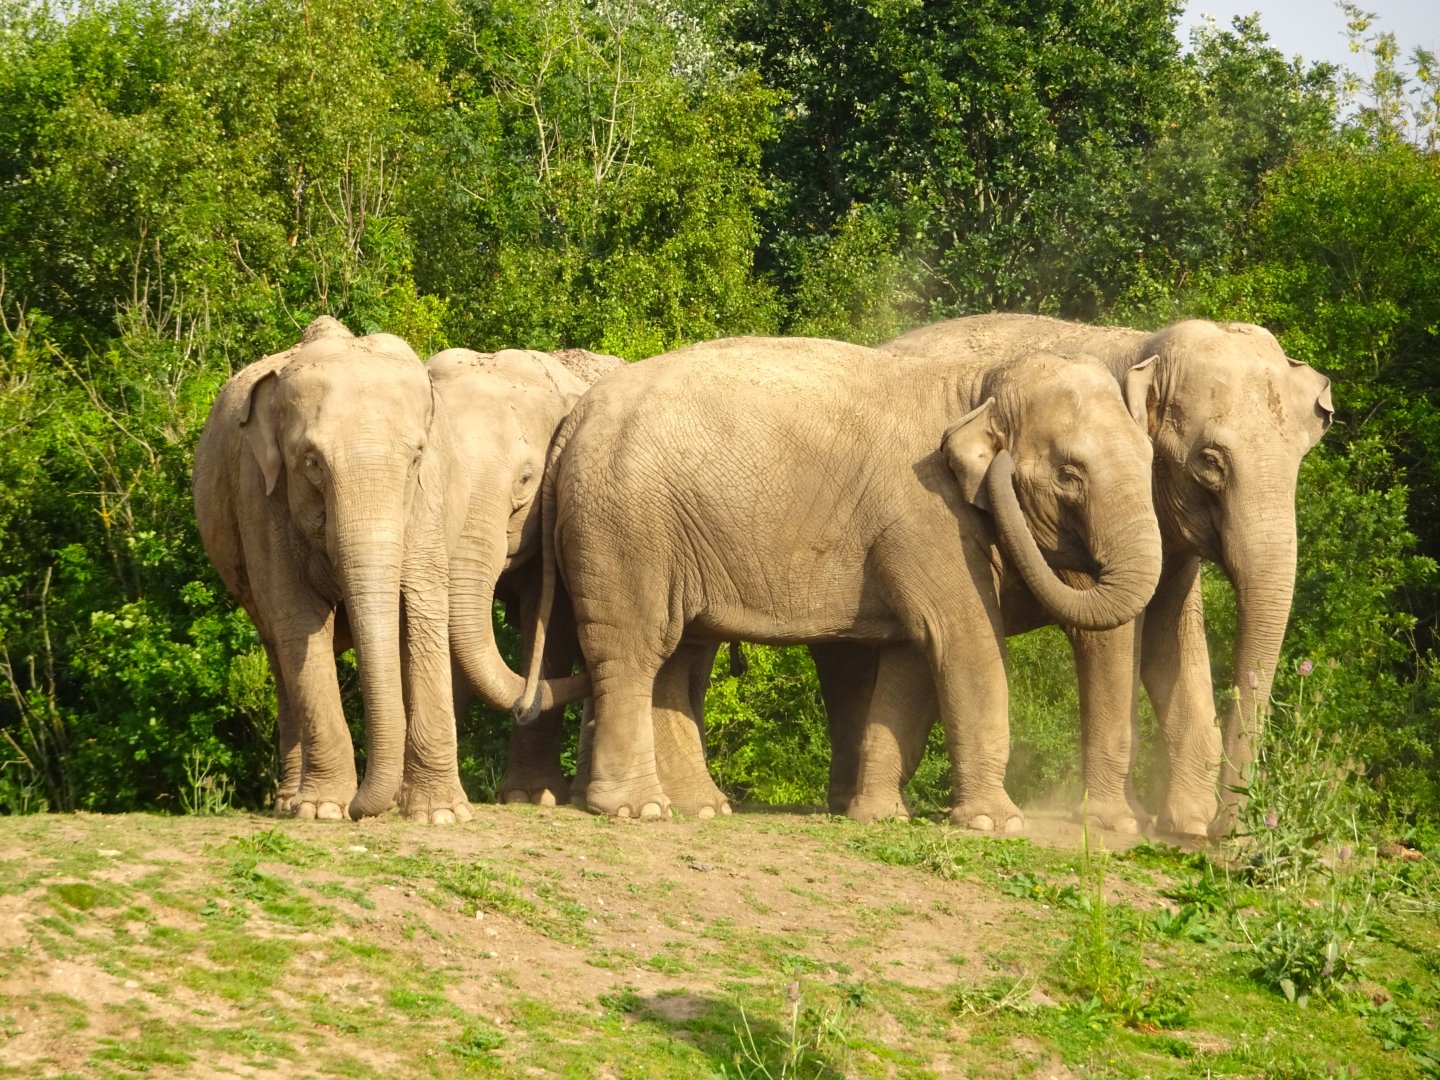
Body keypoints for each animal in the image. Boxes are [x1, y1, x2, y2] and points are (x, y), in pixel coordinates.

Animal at [193, 316, 472, 823]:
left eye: (416, 459)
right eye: (311, 463)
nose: (363, 807)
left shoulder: (429, 502)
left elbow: (420, 609)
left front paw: (441, 815)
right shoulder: (260, 493)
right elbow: (299, 621)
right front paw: (323, 810)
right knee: (279, 653)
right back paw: (290, 801)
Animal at [519, 335, 1163, 829]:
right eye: (1071, 474)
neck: (976, 384)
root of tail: (574, 419)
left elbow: (915, 654)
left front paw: (879, 816)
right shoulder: (927, 514)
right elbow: (964, 640)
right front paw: (994, 824)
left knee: (676, 655)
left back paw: (699, 809)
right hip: (625, 528)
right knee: (636, 649)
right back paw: (639, 811)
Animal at [821, 315, 1333, 837]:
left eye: (1300, 458)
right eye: (1211, 461)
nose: (1226, 830)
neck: (1142, 347)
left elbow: (1172, 640)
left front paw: (1184, 825)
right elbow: (1110, 633)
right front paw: (1122, 822)